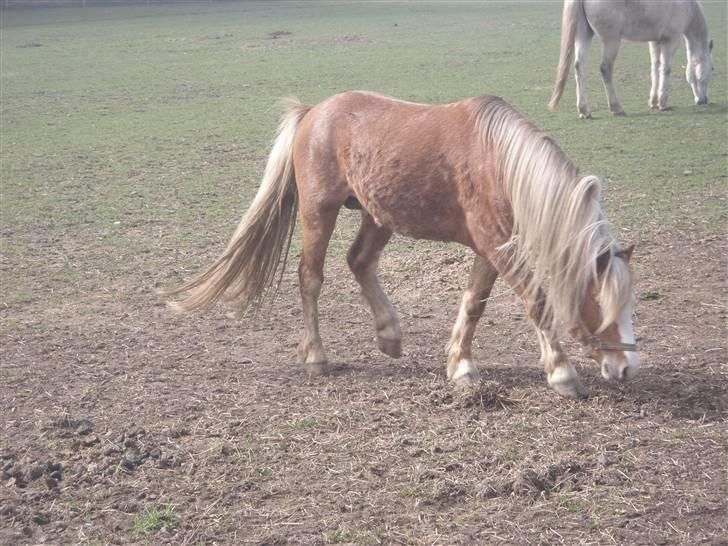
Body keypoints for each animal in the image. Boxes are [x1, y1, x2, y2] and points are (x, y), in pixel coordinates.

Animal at [168, 91, 640, 398]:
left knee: (359, 261)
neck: (501, 164)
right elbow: (536, 303)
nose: (625, 368)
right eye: (601, 304)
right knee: (311, 277)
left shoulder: (490, 249)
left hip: (378, 215)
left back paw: (389, 335)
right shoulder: (496, 246)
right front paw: (561, 373)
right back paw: (316, 357)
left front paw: (460, 364)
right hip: (319, 212)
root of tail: (313, 112)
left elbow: (474, 304)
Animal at [548, 0, 712, 117]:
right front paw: (663, 102)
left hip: (584, 35)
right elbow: (666, 69)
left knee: (579, 68)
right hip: (611, 41)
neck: (688, 6)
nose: (703, 100)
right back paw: (616, 107)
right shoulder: (671, 40)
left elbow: (655, 68)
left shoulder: (655, 42)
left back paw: (584, 110)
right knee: (605, 69)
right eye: (712, 70)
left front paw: (653, 101)